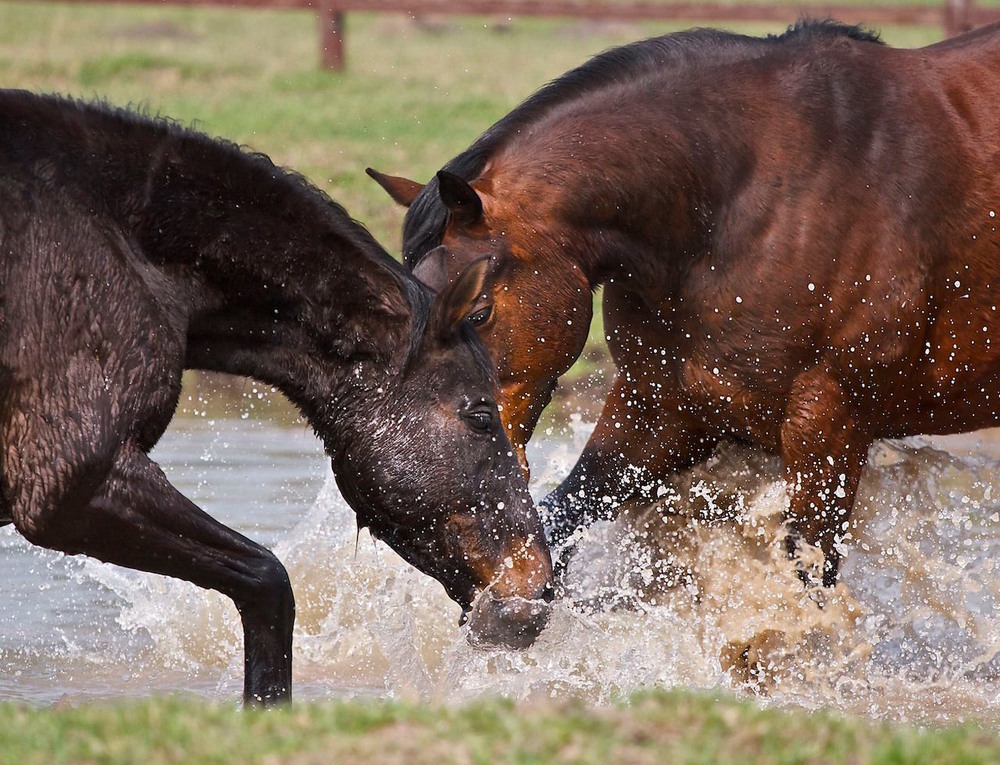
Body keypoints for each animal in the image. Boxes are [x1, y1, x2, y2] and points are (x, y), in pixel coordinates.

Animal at [372, 22, 1000, 584]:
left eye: (478, 312)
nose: (439, 480)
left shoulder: (830, 430)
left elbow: (804, 577)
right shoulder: (663, 407)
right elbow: (564, 515)